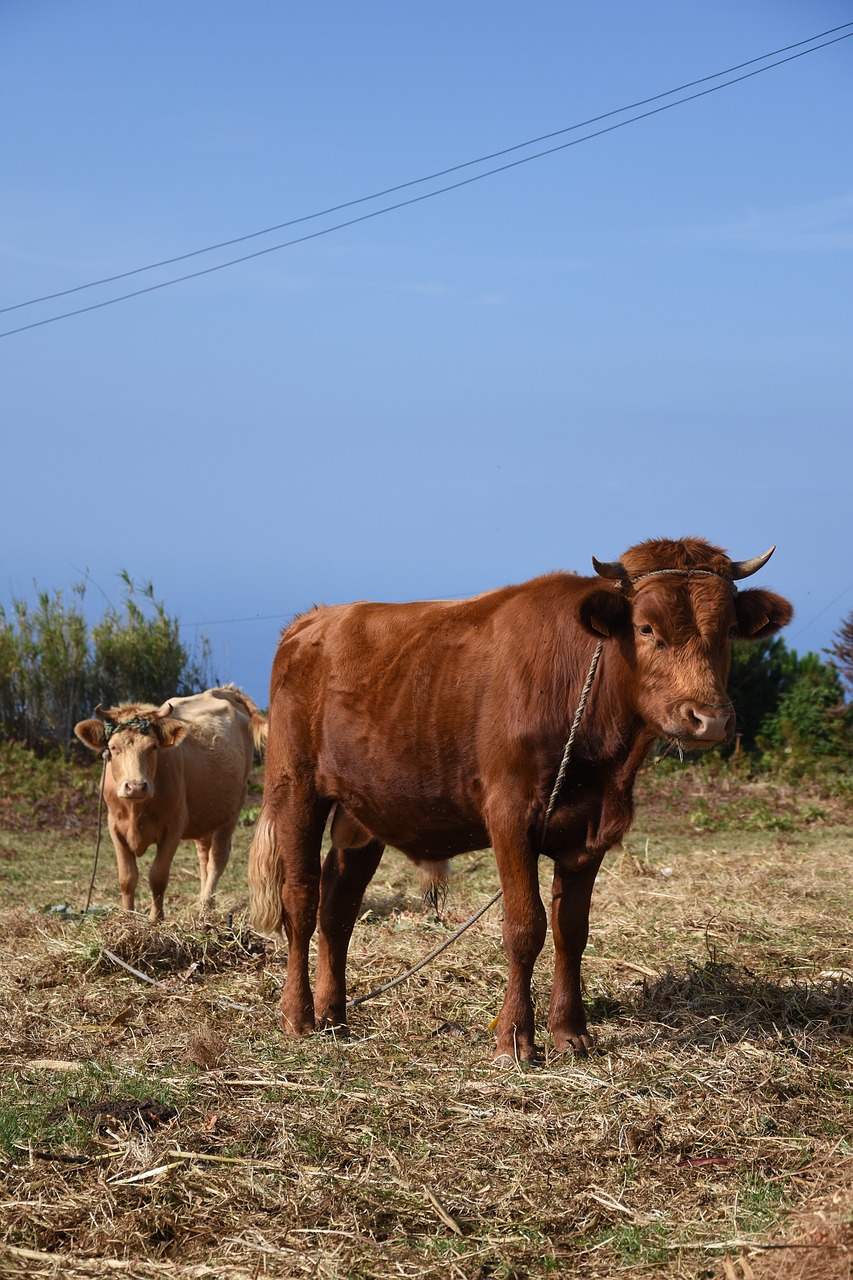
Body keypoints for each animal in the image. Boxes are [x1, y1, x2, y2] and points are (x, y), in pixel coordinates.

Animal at [75, 691, 266, 921]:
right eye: (113, 747)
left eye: (153, 747)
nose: (136, 786)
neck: (136, 810)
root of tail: (223, 691)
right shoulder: (115, 827)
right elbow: (127, 877)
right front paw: (127, 916)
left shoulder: (173, 827)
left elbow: (157, 875)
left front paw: (156, 918)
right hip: (205, 815)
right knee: (203, 856)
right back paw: (202, 901)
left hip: (232, 811)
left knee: (217, 858)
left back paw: (206, 905)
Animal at [245, 540, 788, 1059]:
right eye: (646, 627)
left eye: (727, 631)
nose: (709, 719)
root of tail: (313, 619)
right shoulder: (510, 815)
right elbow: (526, 926)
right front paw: (515, 1040)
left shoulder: (590, 832)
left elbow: (572, 930)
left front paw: (570, 1033)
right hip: (295, 789)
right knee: (302, 899)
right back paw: (297, 1016)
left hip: (363, 811)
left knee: (338, 907)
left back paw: (334, 1017)